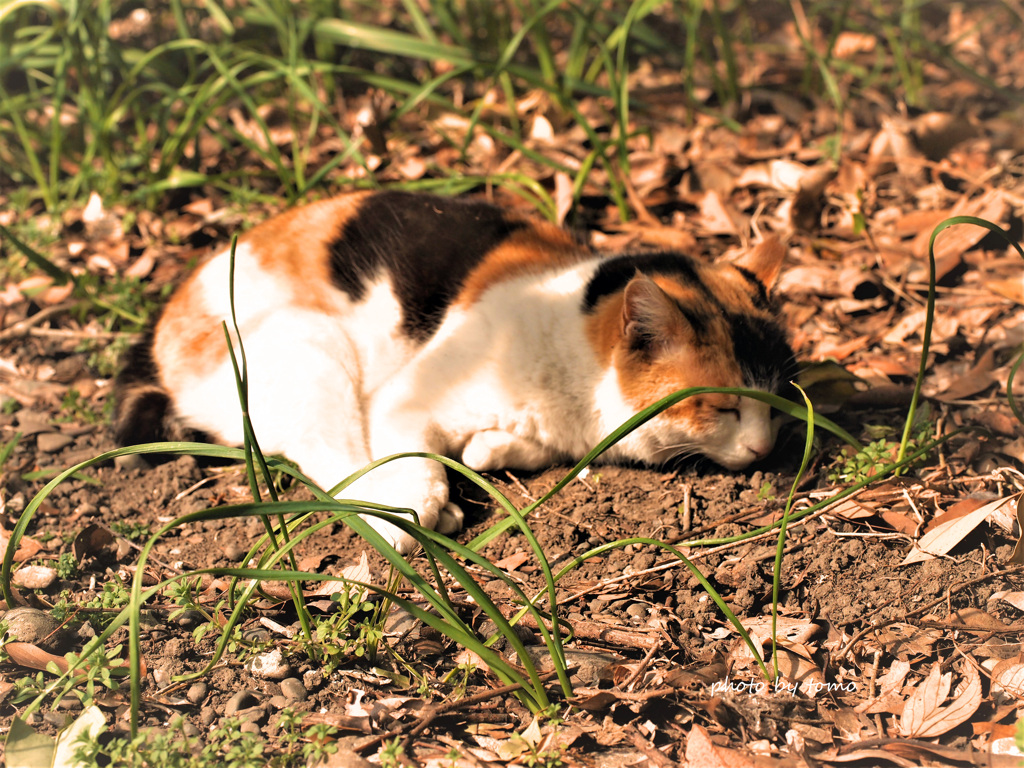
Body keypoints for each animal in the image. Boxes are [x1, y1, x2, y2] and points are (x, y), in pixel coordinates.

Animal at [116, 191, 794, 552]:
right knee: (330, 459)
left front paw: (490, 448)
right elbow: (416, 458)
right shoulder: (404, 400)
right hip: (309, 345)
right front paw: (420, 503)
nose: (765, 449)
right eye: (724, 407)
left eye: (781, 401)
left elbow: (491, 451)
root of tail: (164, 320)